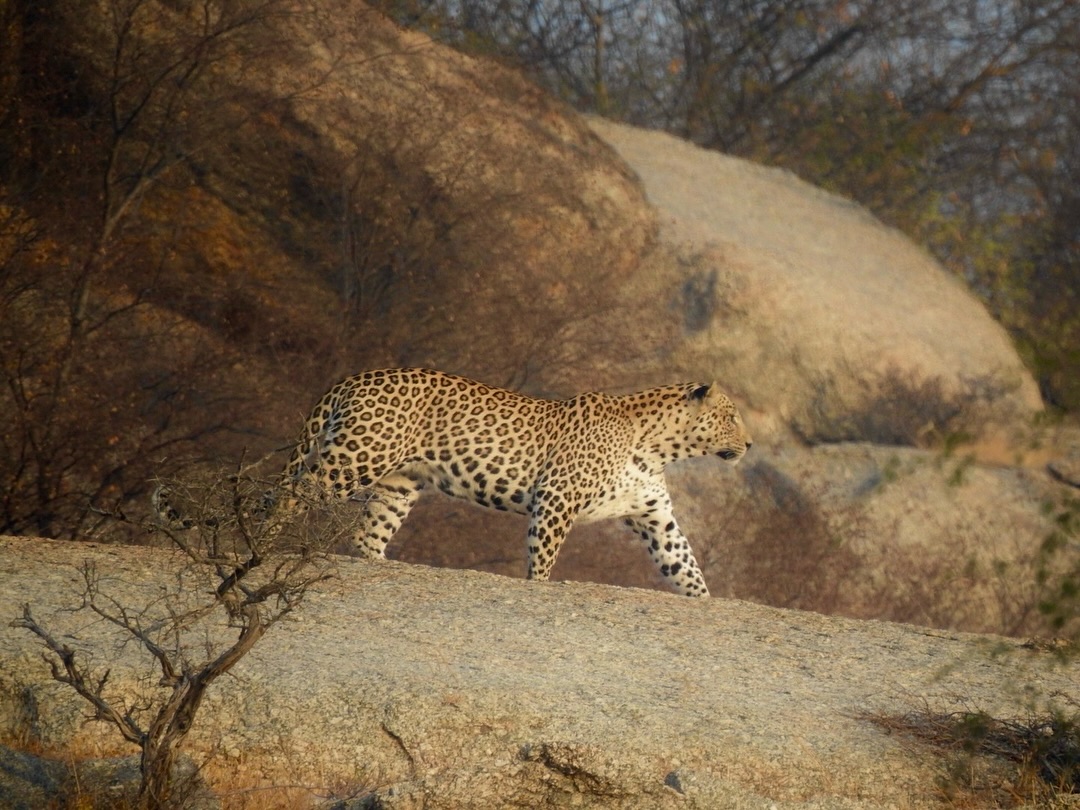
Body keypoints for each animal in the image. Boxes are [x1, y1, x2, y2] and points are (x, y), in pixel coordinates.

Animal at [160, 368, 752, 596]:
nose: (749, 446)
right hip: (353, 460)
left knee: (366, 536)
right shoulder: (555, 502)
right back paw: (259, 550)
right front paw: (539, 589)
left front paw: (706, 603)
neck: (659, 447)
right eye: (731, 417)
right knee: (288, 495)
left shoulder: (656, 516)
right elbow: (542, 562)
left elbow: (685, 565)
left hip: (398, 484)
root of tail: (352, 377)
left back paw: (381, 567)